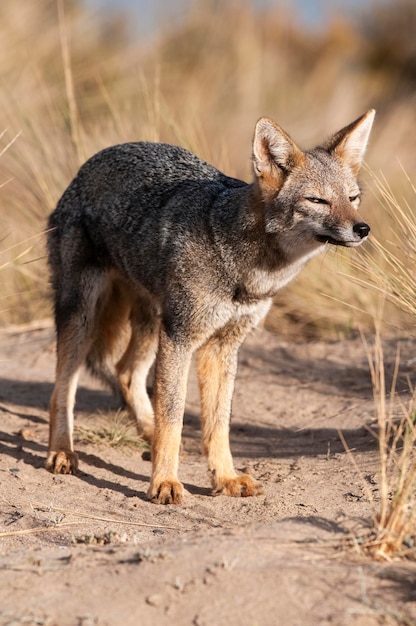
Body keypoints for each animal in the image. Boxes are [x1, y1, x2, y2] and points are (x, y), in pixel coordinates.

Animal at [47, 111, 376, 502]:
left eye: (353, 198)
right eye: (318, 201)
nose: (362, 228)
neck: (245, 270)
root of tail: (93, 161)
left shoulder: (222, 345)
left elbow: (218, 422)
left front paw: (226, 477)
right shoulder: (181, 337)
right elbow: (173, 415)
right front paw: (164, 482)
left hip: (152, 321)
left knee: (125, 371)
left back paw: (147, 433)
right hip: (84, 315)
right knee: (63, 386)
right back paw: (62, 452)